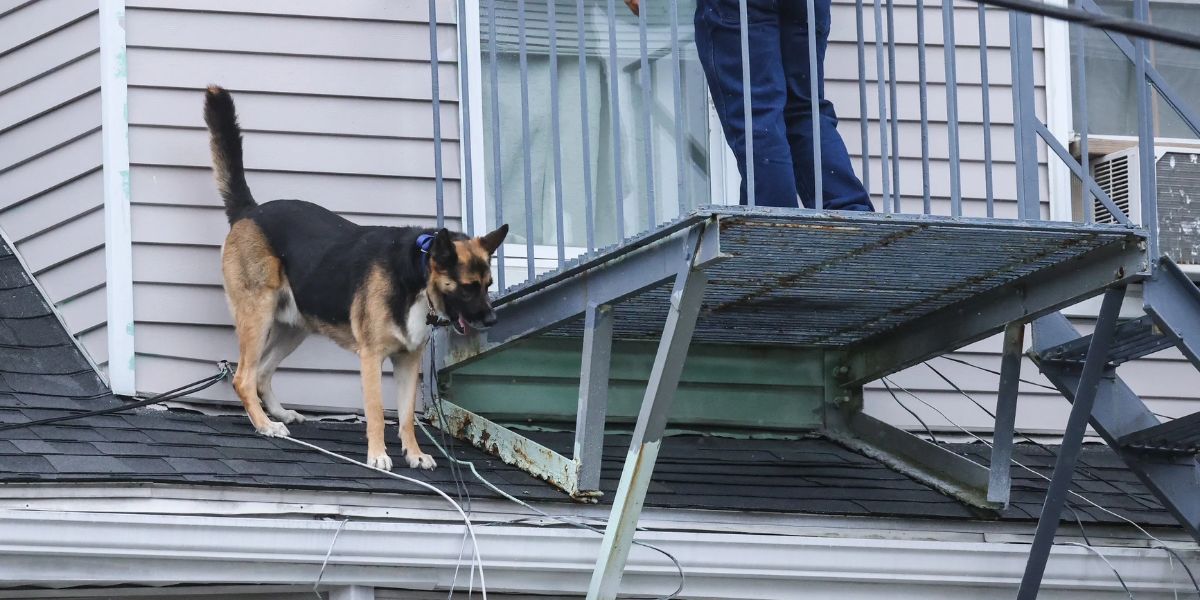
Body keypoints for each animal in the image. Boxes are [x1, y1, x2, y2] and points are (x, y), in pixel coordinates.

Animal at [204, 85, 508, 468]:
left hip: (294, 325)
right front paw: (378, 456)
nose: (493, 320)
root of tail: (249, 211)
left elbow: (406, 417)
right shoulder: (372, 357)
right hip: (258, 316)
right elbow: (377, 411)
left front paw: (414, 454)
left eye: (488, 285)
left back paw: (280, 414)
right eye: (469, 288)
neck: (416, 273)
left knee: (261, 372)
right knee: (244, 378)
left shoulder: (408, 361)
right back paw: (265, 425)